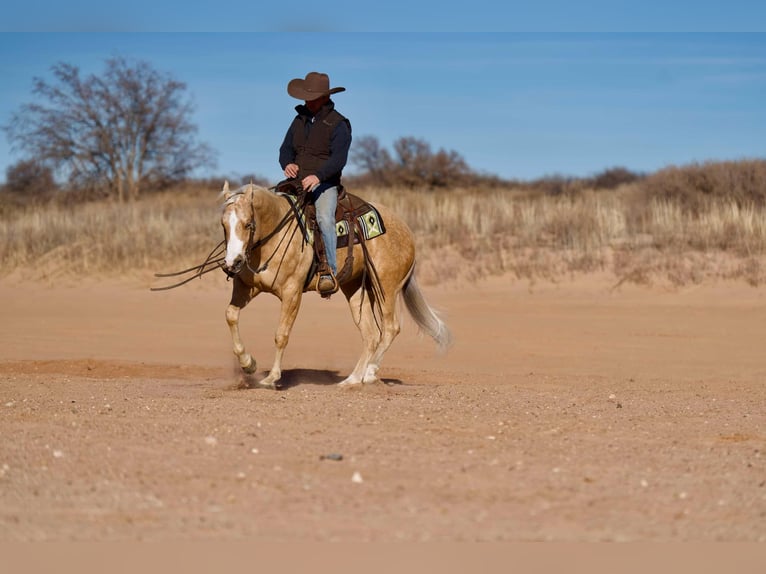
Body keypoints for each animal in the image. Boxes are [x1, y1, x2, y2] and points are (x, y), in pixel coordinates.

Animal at [219, 182, 452, 390]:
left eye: (248, 224)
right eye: (224, 225)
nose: (233, 262)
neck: (274, 236)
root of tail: (407, 231)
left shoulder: (292, 292)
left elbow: (281, 335)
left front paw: (272, 378)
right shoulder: (244, 287)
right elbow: (230, 315)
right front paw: (248, 364)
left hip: (386, 287)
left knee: (390, 328)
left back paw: (370, 373)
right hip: (356, 290)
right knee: (370, 335)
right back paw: (352, 379)